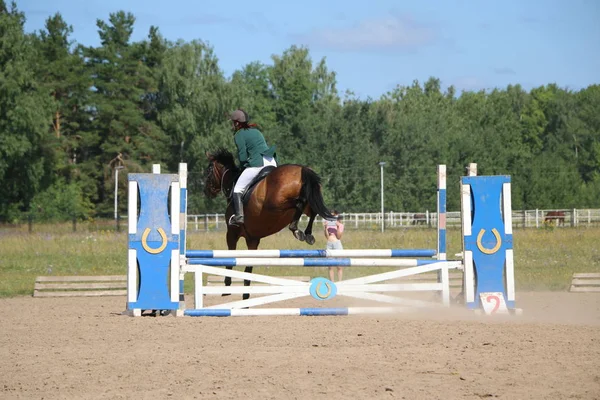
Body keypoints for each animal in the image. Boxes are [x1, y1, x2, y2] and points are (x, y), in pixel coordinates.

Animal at [203, 148, 336, 298]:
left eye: (208, 170)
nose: (206, 191)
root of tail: (303, 169)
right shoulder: (252, 239)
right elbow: (248, 267)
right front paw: (245, 295)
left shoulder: (232, 233)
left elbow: (230, 258)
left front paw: (226, 287)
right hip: (307, 200)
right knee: (312, 211)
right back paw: (307, 234)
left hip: (275, 204)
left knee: (299, 203)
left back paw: (295, 229)